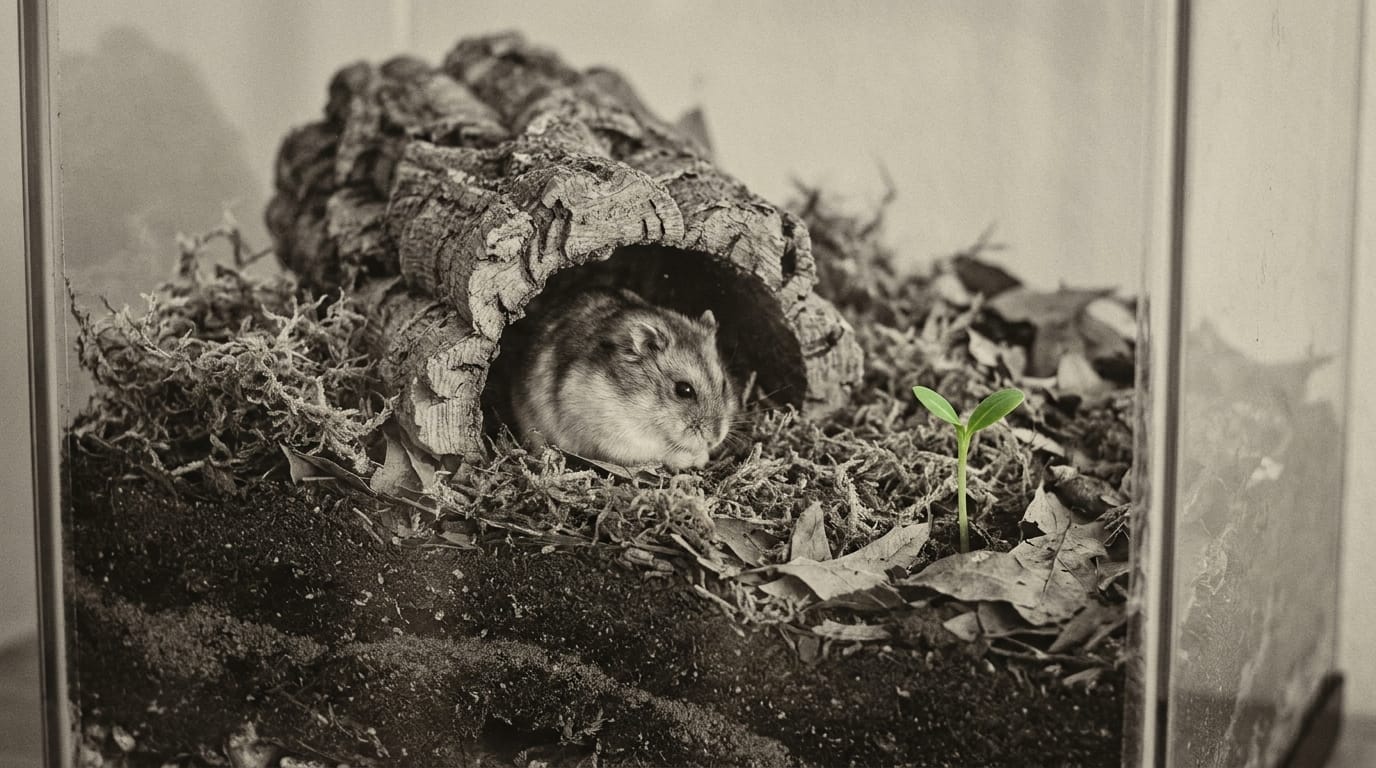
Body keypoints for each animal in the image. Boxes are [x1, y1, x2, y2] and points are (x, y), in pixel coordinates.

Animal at [511, 287, 737, 470]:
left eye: (724, 384)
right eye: (683, 390)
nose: (715, 439)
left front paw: (702, 455)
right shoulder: (619, 437)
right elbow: (660, 452)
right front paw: (693, 458)